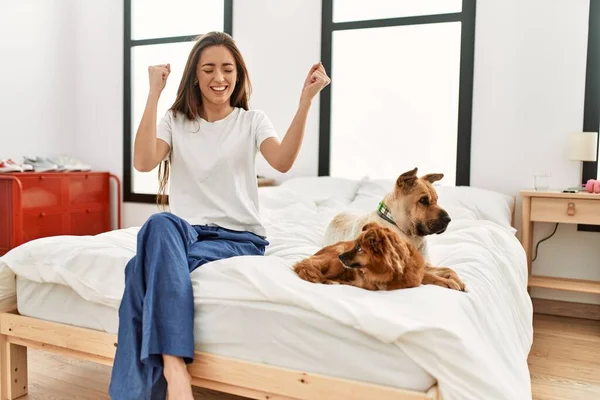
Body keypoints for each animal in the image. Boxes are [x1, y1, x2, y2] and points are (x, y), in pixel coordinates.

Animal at [292, 222, 424, 290]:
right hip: (336, 260)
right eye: (355, 245)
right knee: (321, 275)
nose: (340, 256)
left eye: (359, 248)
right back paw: (331, 281)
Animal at [322, 168, 466, 290]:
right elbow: (431, 276)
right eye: (423, 200)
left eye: (437, 199)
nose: (448, 219)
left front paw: (457, 280)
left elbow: (448, 269)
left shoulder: (425, 264)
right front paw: (449, 282)